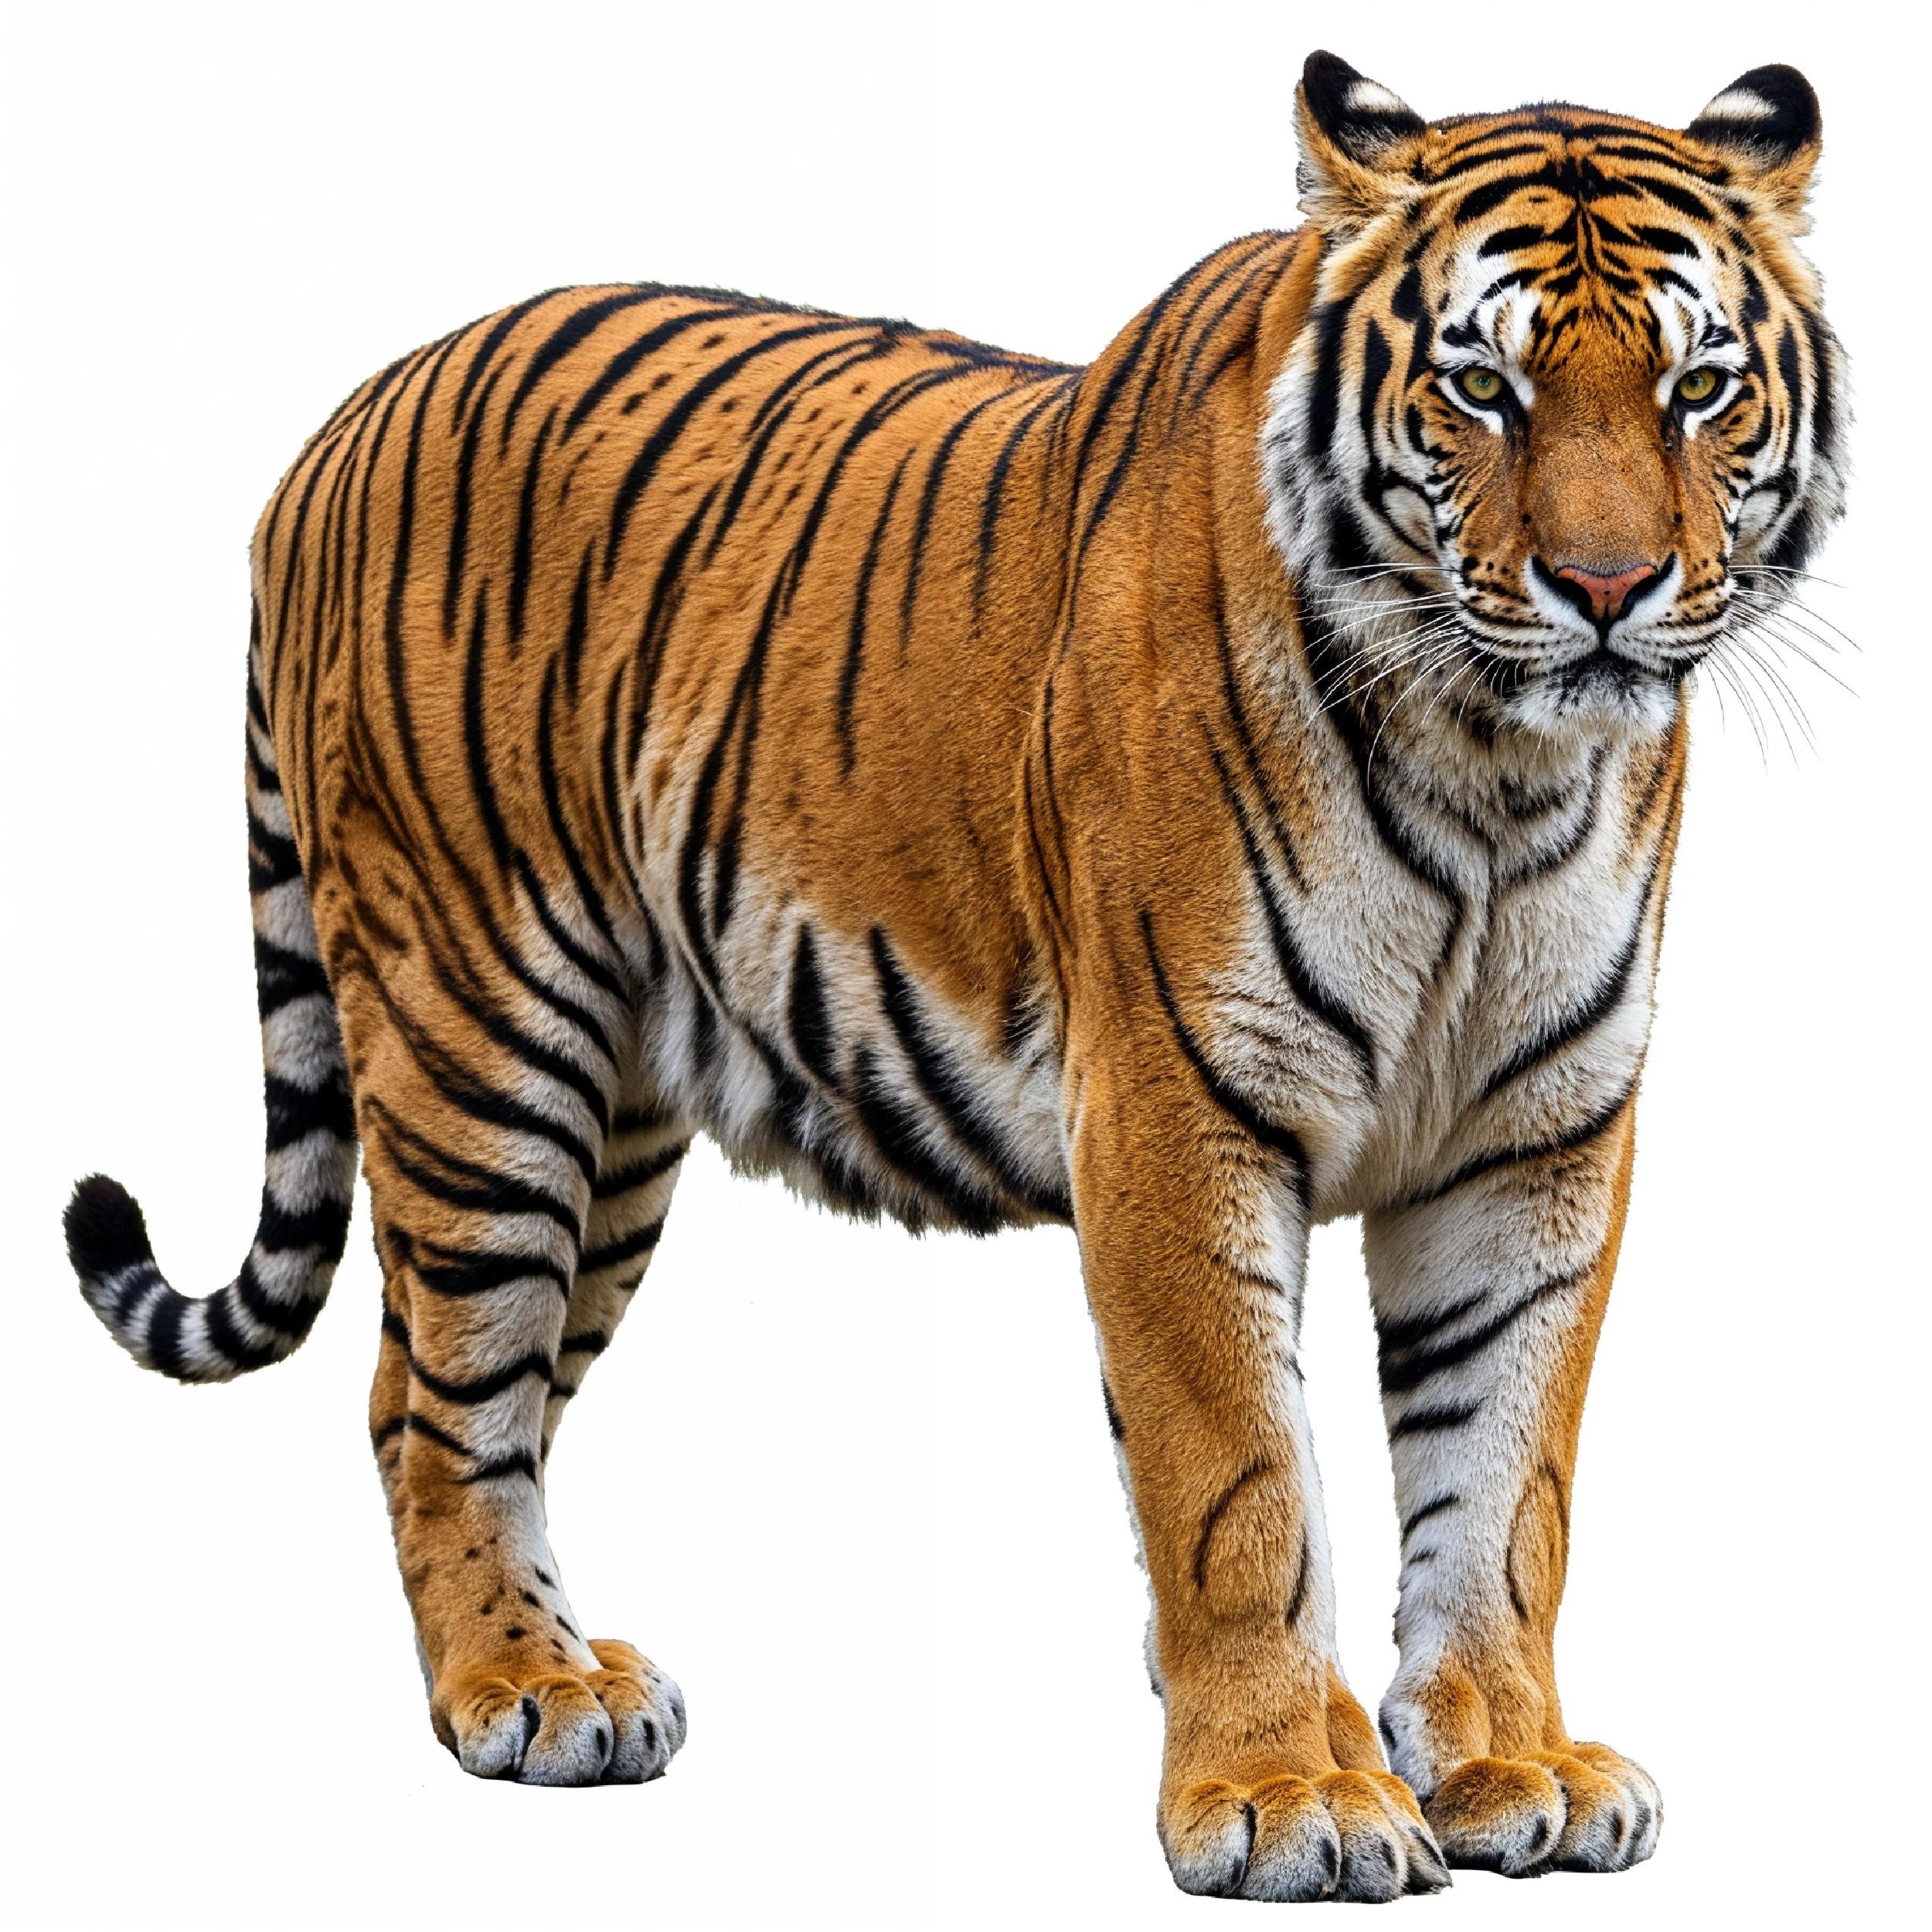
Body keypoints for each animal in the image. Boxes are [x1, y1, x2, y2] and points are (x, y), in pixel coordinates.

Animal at [62, 48, 1845, 1903]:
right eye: (1482, 387)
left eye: (1700, 387)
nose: (1606, 588)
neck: (1497, 770)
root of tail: (336, 426)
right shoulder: (1178, 1105)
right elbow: (1238, 1474)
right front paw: (1287, 1792)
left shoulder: (1535, 1136)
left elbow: (1505, 1479)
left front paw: (1506, 1761)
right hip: (480, 1046)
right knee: (436, 1400)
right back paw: (527, 1689)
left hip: (611, 1130)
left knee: (443, 1386)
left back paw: (554, 1655)